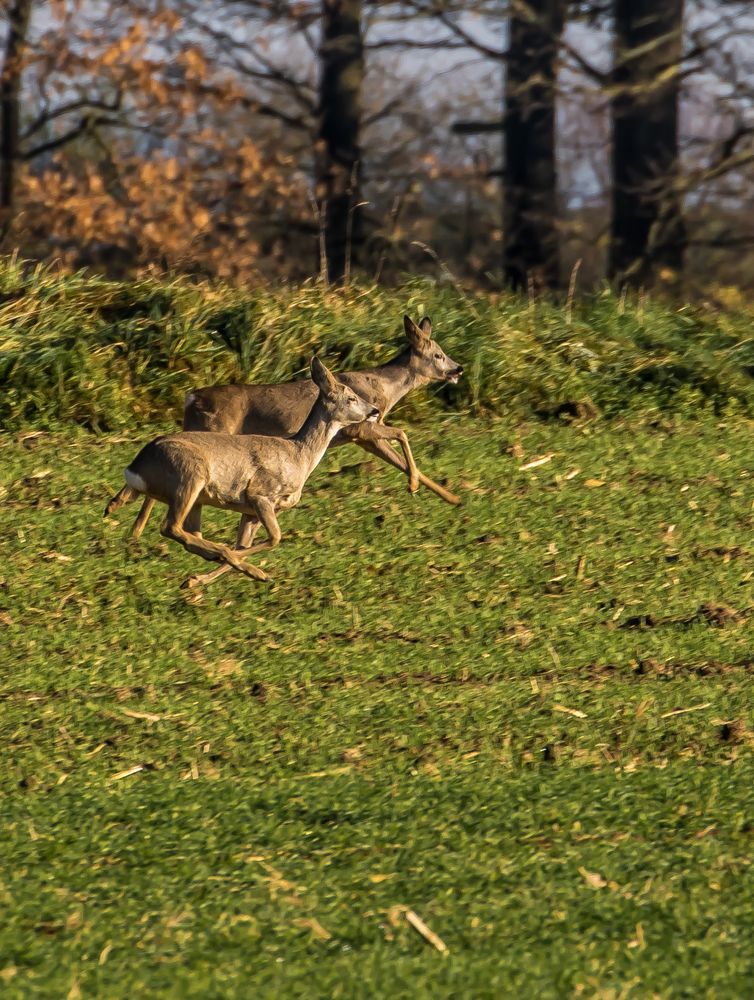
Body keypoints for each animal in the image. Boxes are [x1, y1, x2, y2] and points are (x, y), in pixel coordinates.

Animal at [103, 358, 378, 584]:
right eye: (352, 398)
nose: (374, 410)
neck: (299, 455)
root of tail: (136, 467)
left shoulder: (251, 512)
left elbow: (245, 543)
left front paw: (197, 580)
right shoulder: (260, 494)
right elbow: (274, 538)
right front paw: (257, 572)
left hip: (195, 497)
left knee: (189, 534)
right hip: (190, 475)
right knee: (171, 527)